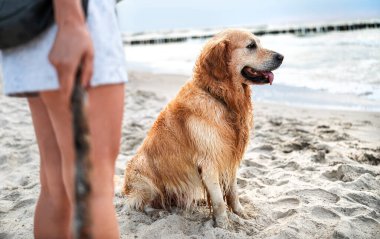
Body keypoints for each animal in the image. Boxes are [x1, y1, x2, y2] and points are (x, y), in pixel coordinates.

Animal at [123, 28, 284, 228]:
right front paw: (223, 226)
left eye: (259, 43)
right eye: (251, 46)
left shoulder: (229, 158)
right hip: (143, 175)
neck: (219, 97)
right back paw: (157, 212)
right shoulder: (209, 162)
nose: (281, 56)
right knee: (140, 204)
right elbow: (219, 201)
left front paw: (241, 214)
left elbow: (233, 192)